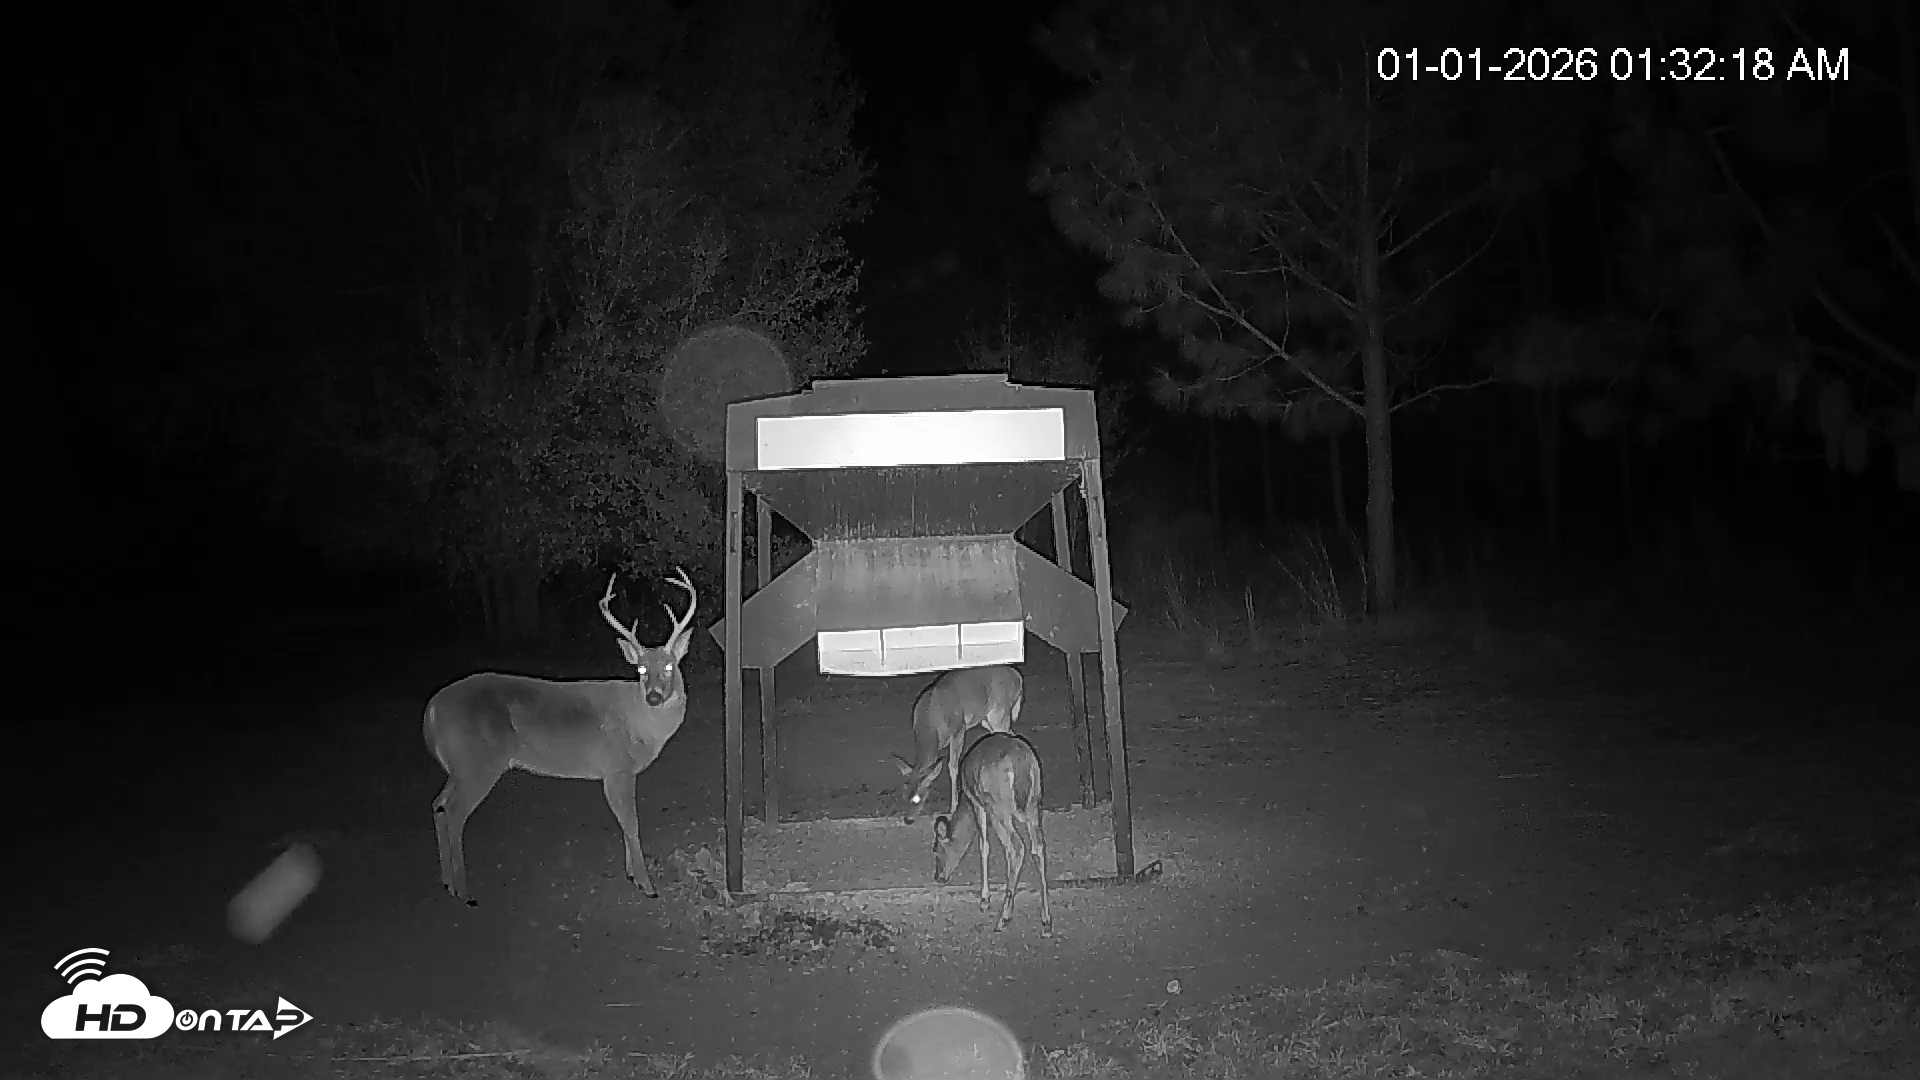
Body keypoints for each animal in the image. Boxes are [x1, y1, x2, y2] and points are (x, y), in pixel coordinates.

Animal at [422, 568, 697, 905]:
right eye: (642, 669)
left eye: (669, 666)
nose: (654, 696)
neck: (639, 720)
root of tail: (432, 709)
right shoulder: (616, 766)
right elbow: (631, 822)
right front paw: (647, 885)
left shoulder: (616, 771)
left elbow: (624, 822)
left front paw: (632, 875)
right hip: (478, 762)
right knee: (453, 812)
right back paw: (464, 891)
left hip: (459, 766)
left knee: (438, 804)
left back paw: (448, 882)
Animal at [890, 664, 1024, 824]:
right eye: (903, 795)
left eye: (918, 798)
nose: (908, 819)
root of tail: (1018, 676)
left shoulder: (959, 730)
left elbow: (952, 766)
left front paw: (953, 807)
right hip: (987, 719)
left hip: (999, 713)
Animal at [932, 731, 1052, 936]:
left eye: (936, 849)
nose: (938, 876)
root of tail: (1020, 762)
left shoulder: (977, 802)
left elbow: (983, 846)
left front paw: (984, 900)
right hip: (1034, 803)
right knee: (1037, 847)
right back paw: (1046, 921)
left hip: (999, 807)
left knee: (1016, 847)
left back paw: (1003, 919)